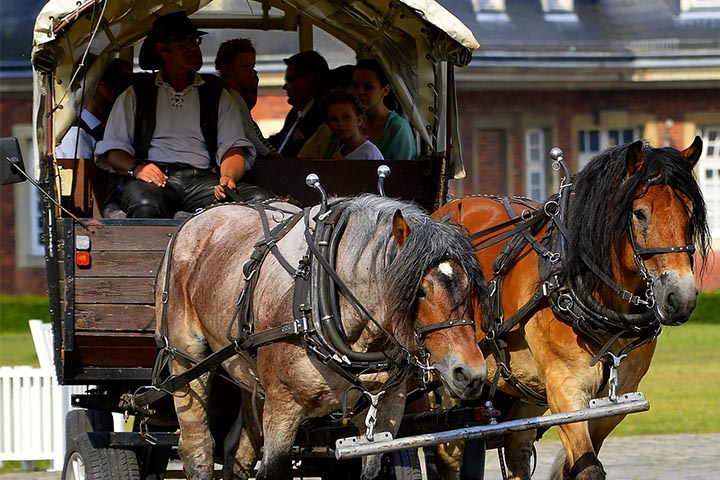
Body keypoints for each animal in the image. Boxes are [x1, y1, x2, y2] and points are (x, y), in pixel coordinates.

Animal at [154, 194, 490, 480]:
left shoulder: (387, 410)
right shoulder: (282, 406)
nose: (471, 373)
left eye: (470, 287)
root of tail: (199, 218)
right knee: (197, 447)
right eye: (419, 290)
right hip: (186, 360)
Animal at [432, 137, 709, 480]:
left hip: (526, 391)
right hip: (450, 376)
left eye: (690, 213)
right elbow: (587, 468)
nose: (680, 297)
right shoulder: (565, 388)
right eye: (640, 213)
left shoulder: (615, 399)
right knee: (449, 454)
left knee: (517, 449)